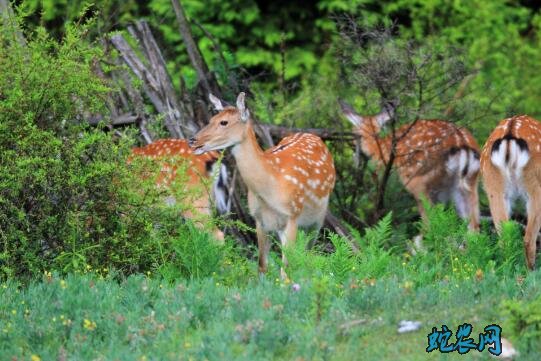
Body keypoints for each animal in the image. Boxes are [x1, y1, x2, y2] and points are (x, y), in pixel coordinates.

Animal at [189, 92, 334, 276]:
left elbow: (286, 270)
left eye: (224, 122)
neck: (270, 187)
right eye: (211, 119)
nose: (193, 140)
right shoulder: (259, 219)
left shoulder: (293, 215)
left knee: (308, 252)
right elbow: (262, 266)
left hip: (317, 217)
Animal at [340, 100, 478, 231]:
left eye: (354, 132)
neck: (381, 148)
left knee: (430, 220)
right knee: (474, 223)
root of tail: (460, 142)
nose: (354, 149)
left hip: (418, 177)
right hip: (470, 180)